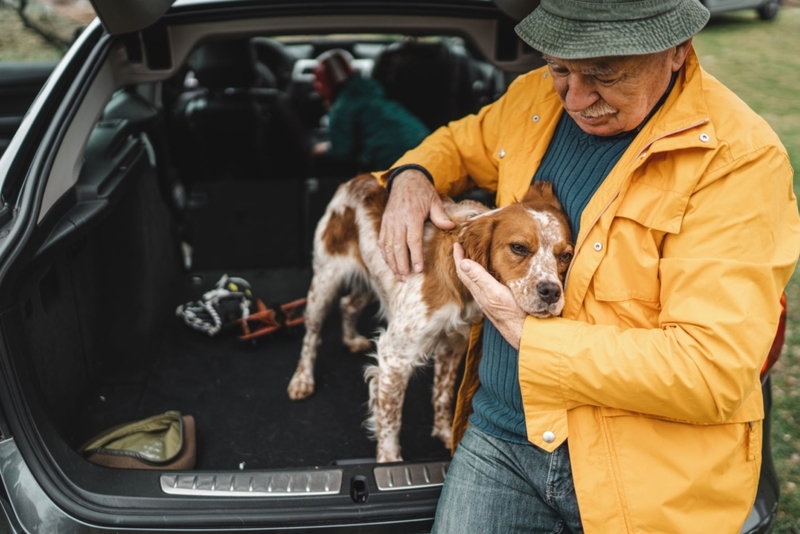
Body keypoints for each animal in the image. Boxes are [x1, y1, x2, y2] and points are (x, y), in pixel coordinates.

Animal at [288, 176, 576, 464]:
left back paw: (350, 338)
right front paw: (389, 460)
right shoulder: (395, 356)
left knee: (348, 304)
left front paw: (445, 433)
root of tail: (358, 178)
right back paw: (302, 380)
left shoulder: (453, 344)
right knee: (312, 334)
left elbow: (443, 393)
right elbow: (390, 418)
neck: (459, 286)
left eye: (565, 256)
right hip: (325, 281)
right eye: (518, 248)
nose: (551, 292)